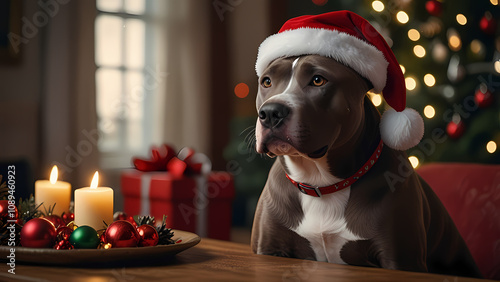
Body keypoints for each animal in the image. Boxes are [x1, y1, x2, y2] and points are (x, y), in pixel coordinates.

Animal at [252, 55, 482, 278]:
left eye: (318, 80)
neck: (321, 183)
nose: (270, 112)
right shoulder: (270, 248)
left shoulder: (400, 260)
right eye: (266, 81)